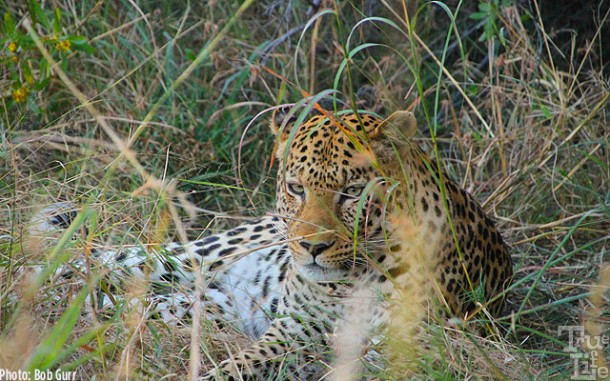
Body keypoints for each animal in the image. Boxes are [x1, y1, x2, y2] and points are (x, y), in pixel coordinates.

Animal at [30, 107, 510, 380]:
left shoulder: (398, 349)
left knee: (127, 300)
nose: (312, 247)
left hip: (198, 305)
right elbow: (239, 366)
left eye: (353, 192)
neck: (351, 279)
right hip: (198, 256)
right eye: (296, 188)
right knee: (92, 259)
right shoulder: (295, 330)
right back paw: (32, 287)